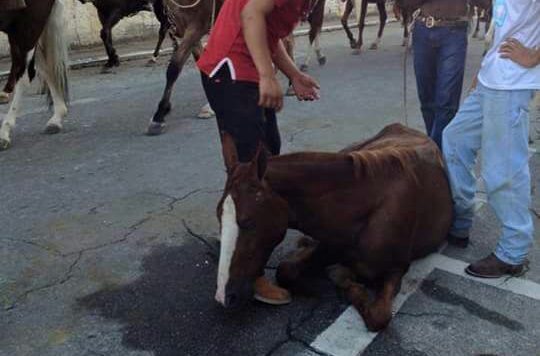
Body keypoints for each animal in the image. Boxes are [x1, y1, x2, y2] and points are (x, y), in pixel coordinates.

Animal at [214, 123, 452, 330]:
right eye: (219, 217)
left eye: (248, 222)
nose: (224, 295)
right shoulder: (329, 245)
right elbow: (286, 270)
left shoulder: (397, 268)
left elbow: (379, 316)